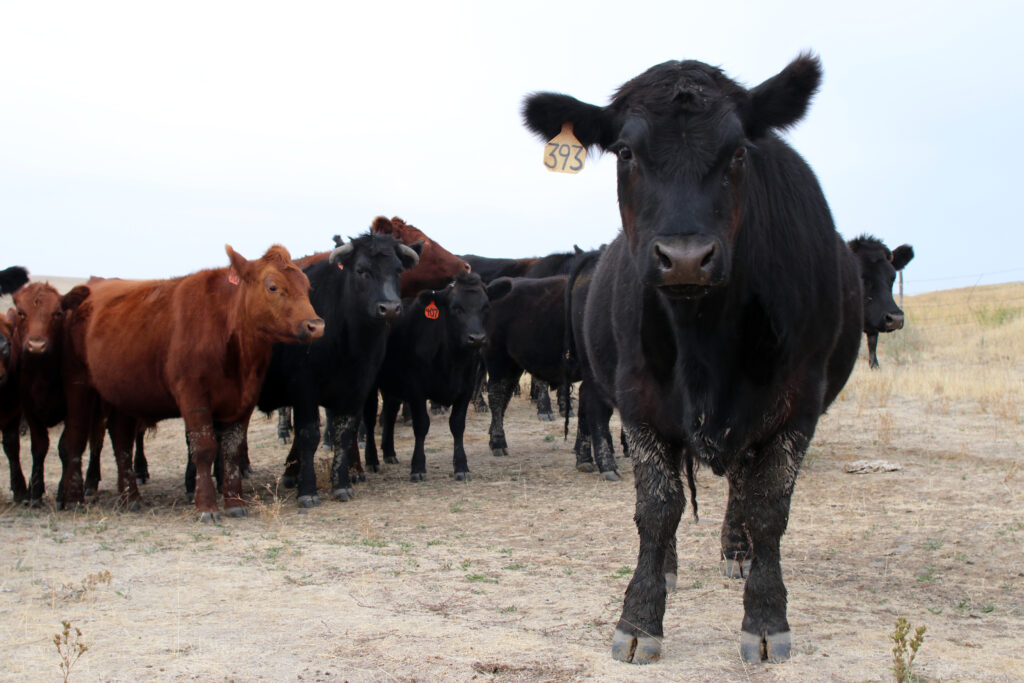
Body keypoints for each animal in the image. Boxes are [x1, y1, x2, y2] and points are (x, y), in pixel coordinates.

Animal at [57, 245, 324, 520]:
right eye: (272, 286)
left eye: (306, 286)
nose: (315, 325)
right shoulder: (193, 396)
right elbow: (204, 448)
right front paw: (206, 505)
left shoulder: (244, 399)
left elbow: (231, 449)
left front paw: (235, 501)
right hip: (79, 387)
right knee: (78, 437)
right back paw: (76, 498)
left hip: (123, 393)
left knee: (121, 440)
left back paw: (130, 496)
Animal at [256, 232, 420, 506]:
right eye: (361, 270)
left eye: (398, 270)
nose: (389, 308)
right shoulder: (304, 386)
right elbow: (309, 434)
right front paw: (308, 490)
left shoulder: (358, 386)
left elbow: (345, 433)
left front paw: (341, 485)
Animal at [364, 272, 510, 481]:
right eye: (455, 308)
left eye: (486, 307)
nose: (477, 338)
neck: (452, 360)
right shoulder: (416, 388)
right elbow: (421, 425)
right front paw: (417, 467)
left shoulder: (465, 389)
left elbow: (457, 425)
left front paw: (461, 466)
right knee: (369, 419)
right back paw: (372, 460)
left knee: (390, 413)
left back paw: (390, 453)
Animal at [522, 53, 862, 664]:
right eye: (625, 151)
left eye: (739, 151)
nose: (684, 258)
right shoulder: (639, 401)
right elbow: (657, 508)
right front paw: (639, 618)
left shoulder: (799, 404)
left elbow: (769, 507)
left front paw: (766, 618)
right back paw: (672, 567)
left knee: (741, 487)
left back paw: (736, 552)